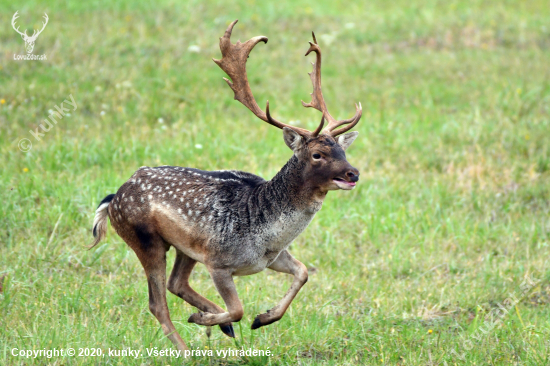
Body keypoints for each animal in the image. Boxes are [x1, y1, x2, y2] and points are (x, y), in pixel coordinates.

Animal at [91, 20, 362, 352]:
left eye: (342, 150)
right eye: (317, 154)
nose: (353, 173)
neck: (265, 232)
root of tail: (112, 199)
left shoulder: (270, 257)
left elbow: (302, 272)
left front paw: (262, 318)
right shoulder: (219, 261)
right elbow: (238, 308)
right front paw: (213, 319)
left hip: (185, 248)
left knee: (176, 283)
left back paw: (220, 325)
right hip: (146, 240)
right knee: (158, 303)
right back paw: (190, 347)